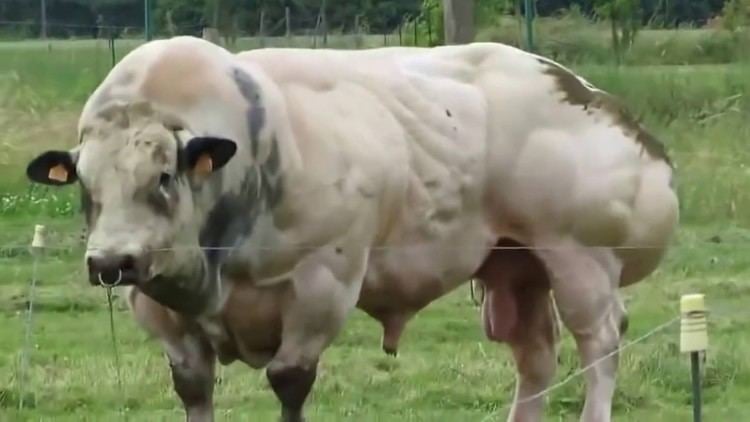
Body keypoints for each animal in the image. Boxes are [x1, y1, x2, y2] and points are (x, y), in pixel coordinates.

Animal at [25, 37, 680, 422]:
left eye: (163, 175)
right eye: (84, 183)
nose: (111, 263)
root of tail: (590, 94)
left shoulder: (323, 283)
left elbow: (290, 381)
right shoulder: (159, 310)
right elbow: (194, 386)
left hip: (581, 259)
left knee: (599, 345)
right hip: (516, 265)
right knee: (537, 356)